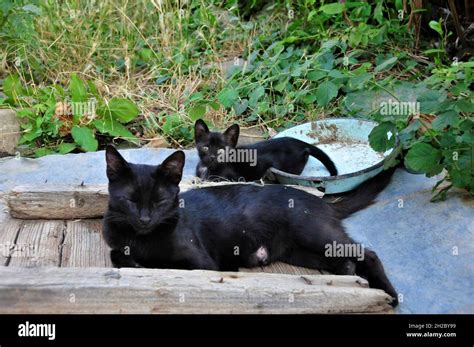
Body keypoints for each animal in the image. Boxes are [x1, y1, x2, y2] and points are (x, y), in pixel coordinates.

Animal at [102, 147, 398, 308]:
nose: (144, 219)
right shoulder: (118, 243)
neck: (142, 239)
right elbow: (116, 254)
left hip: (314, 234)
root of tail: (323, 202)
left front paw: (141, 264)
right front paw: (131, 260)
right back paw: (345, 273)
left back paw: (389, 294)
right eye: (130, 200)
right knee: (345, 260)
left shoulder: (204, 264)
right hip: (301, 252)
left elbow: (165, 267)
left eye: (160, 201)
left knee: (368, 253)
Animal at [194, 119, 338, 182]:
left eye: (221, 150)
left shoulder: (234, 178)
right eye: (205, 148)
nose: (212, 157)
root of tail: (298, 142)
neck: (207, 168)